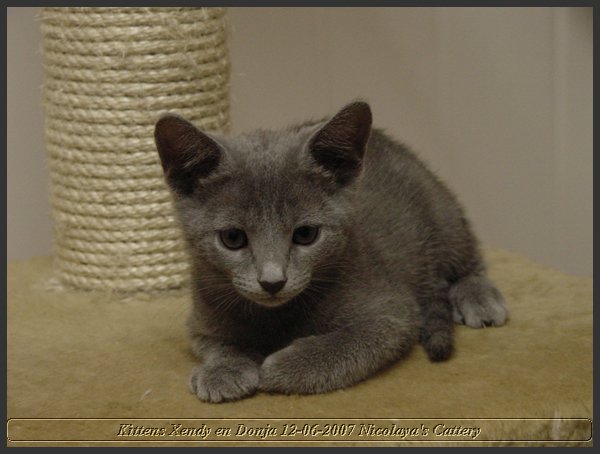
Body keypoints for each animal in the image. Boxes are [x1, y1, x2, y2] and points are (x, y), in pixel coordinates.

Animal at [155, 101, 506, 402]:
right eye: (232, 238)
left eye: (306, 234)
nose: (272, 281)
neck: (275, 318)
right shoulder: (200, 319)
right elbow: (217, 342)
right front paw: (224, 370)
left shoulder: (391, 311)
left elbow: (349, 342)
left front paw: (281, 366)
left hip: (443, 213)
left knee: (467, 260)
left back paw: (478, 297)